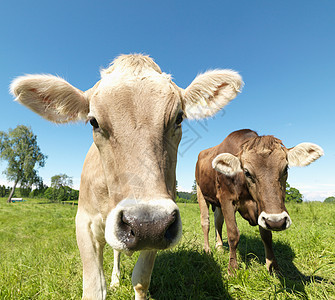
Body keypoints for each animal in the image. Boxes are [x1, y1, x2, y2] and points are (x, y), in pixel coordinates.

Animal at [9, 54, 243, 300]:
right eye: (93, 121)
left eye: (179, 118)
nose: (147, 223)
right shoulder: (84, 222)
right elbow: (94, 288)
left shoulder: (159, 233)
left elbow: (140, 280)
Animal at [196, 129, 324, 274]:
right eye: (247, 172)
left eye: (285, 168)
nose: (277, 221)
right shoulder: (226, 198)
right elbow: (233, 234)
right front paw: (232, 269)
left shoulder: (261, 208)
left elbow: (266, 236)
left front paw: (273, 267)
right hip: (200, 191)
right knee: (205, 222)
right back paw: (207, 250)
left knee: (218, 221)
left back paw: (219, 247)